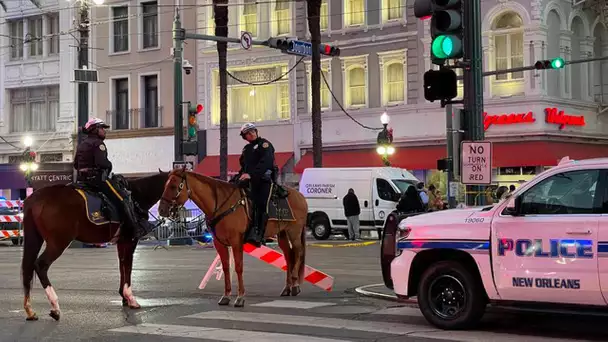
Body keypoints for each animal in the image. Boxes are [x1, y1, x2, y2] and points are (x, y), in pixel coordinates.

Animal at [21, 171, 169, 320]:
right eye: (173, 186)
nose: (164, 210)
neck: (136, 195)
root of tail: (36, 198)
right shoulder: (130, 240)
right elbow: (128, 266)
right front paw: (131, 299)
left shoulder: (121, 242)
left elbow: (122, 266)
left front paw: (124, 298)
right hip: (58, 243)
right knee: (41, 265)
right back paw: (55, 307)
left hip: (36, 239)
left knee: (28, 269)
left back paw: (30, 310)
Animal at [158, 169, 308, 308]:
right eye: (165, 185)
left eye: (173, 186)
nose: (161, 210)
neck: (222, 205)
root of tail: (300, 196)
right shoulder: (219, 244)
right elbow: (225, 268)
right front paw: (226, 296)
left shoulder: (236, 242)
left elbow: (238, 267)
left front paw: (240, 297)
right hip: (282, 233)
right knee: (288, 255)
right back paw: (288, 288)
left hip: (294, 232)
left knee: (298, 252)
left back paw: (295, 285)